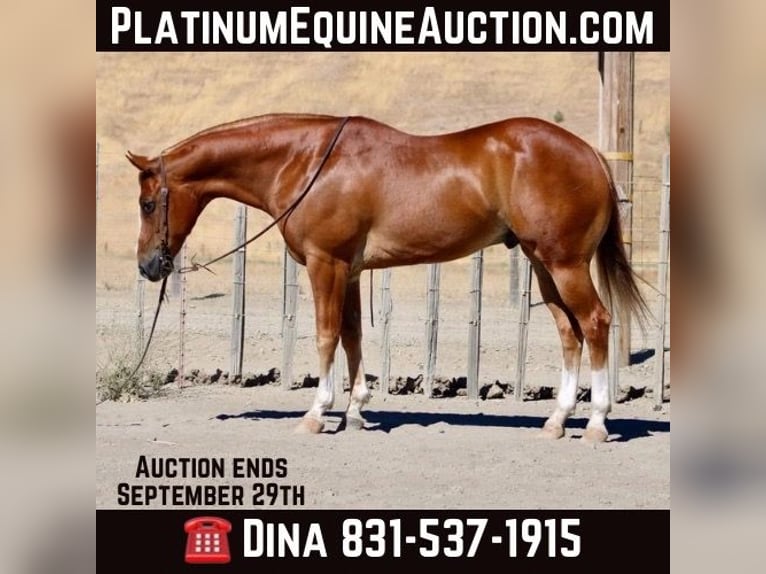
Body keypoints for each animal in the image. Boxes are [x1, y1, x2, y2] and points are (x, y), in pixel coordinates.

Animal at [127, 113, 647, 443]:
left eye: (148, 203)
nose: (148, 266)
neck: (307, 162)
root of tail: (591, 154)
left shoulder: (326, 264)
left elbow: (326, 335)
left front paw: (317, 413)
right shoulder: (351, 271)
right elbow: (353, 336)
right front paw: (356, 411)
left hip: (565, 265)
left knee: (596, 323)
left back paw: (597, 423)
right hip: (543, 266)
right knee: (569, 332)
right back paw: (557, 420)